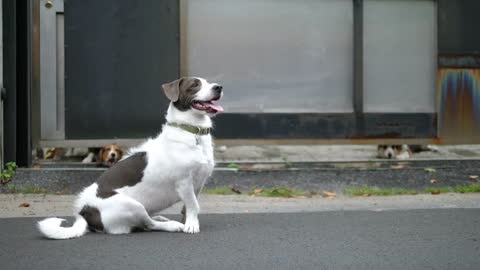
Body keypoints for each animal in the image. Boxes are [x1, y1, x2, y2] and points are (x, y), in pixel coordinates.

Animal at [38, 77, 225, 239]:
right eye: (195, 85)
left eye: (208, 82)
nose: (219, 87)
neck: (192, 133)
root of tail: (84, 211)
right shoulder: (184, 183)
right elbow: (193, 205)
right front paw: (190, 225)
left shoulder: (198, 184)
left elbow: (189, 207)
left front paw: (188, 221)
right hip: (132, 204)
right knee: (148, 224)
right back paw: (170, 225)